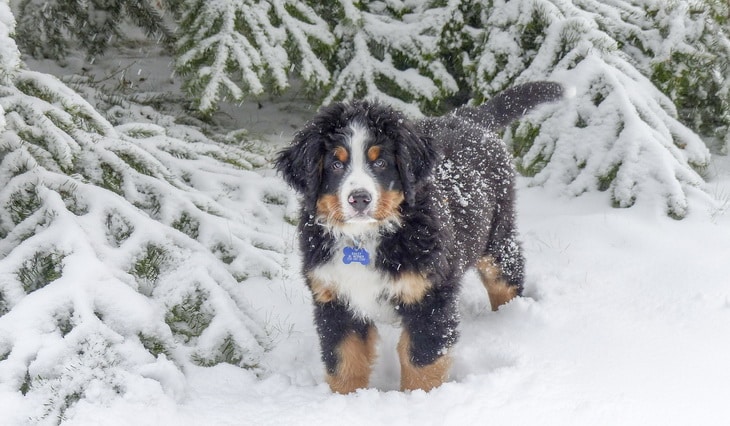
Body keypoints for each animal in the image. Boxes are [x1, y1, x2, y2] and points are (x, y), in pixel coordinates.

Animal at [276, 81, 560, 394]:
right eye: (336, 164)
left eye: (381, 162)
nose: (359, 199)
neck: (365, 237)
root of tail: (467, 117)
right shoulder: (334, 299)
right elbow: (344, 363)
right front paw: (344, 400)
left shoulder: (429, 298)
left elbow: (421, 362)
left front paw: (418, 400)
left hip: (496, 238)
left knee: (506, 279)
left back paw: (510, 320)